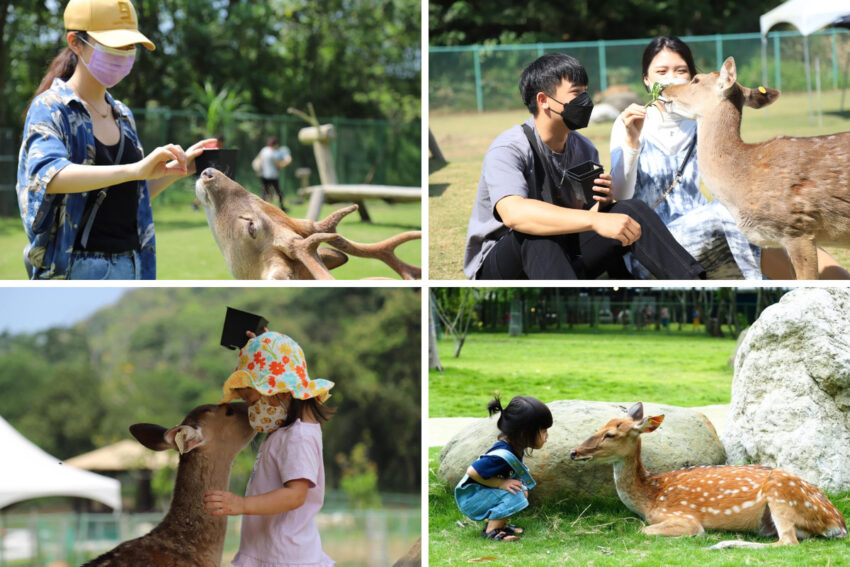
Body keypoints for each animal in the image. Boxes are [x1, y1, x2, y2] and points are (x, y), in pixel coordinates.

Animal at [568, 402, 844, 548]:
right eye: (599, 427)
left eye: (610, 434)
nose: (574, 452)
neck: (649, 497)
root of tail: (838, 523)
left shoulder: (683, 516)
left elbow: (643, 530)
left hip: (782, 494)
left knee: (787, 541)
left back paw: (723, 543)